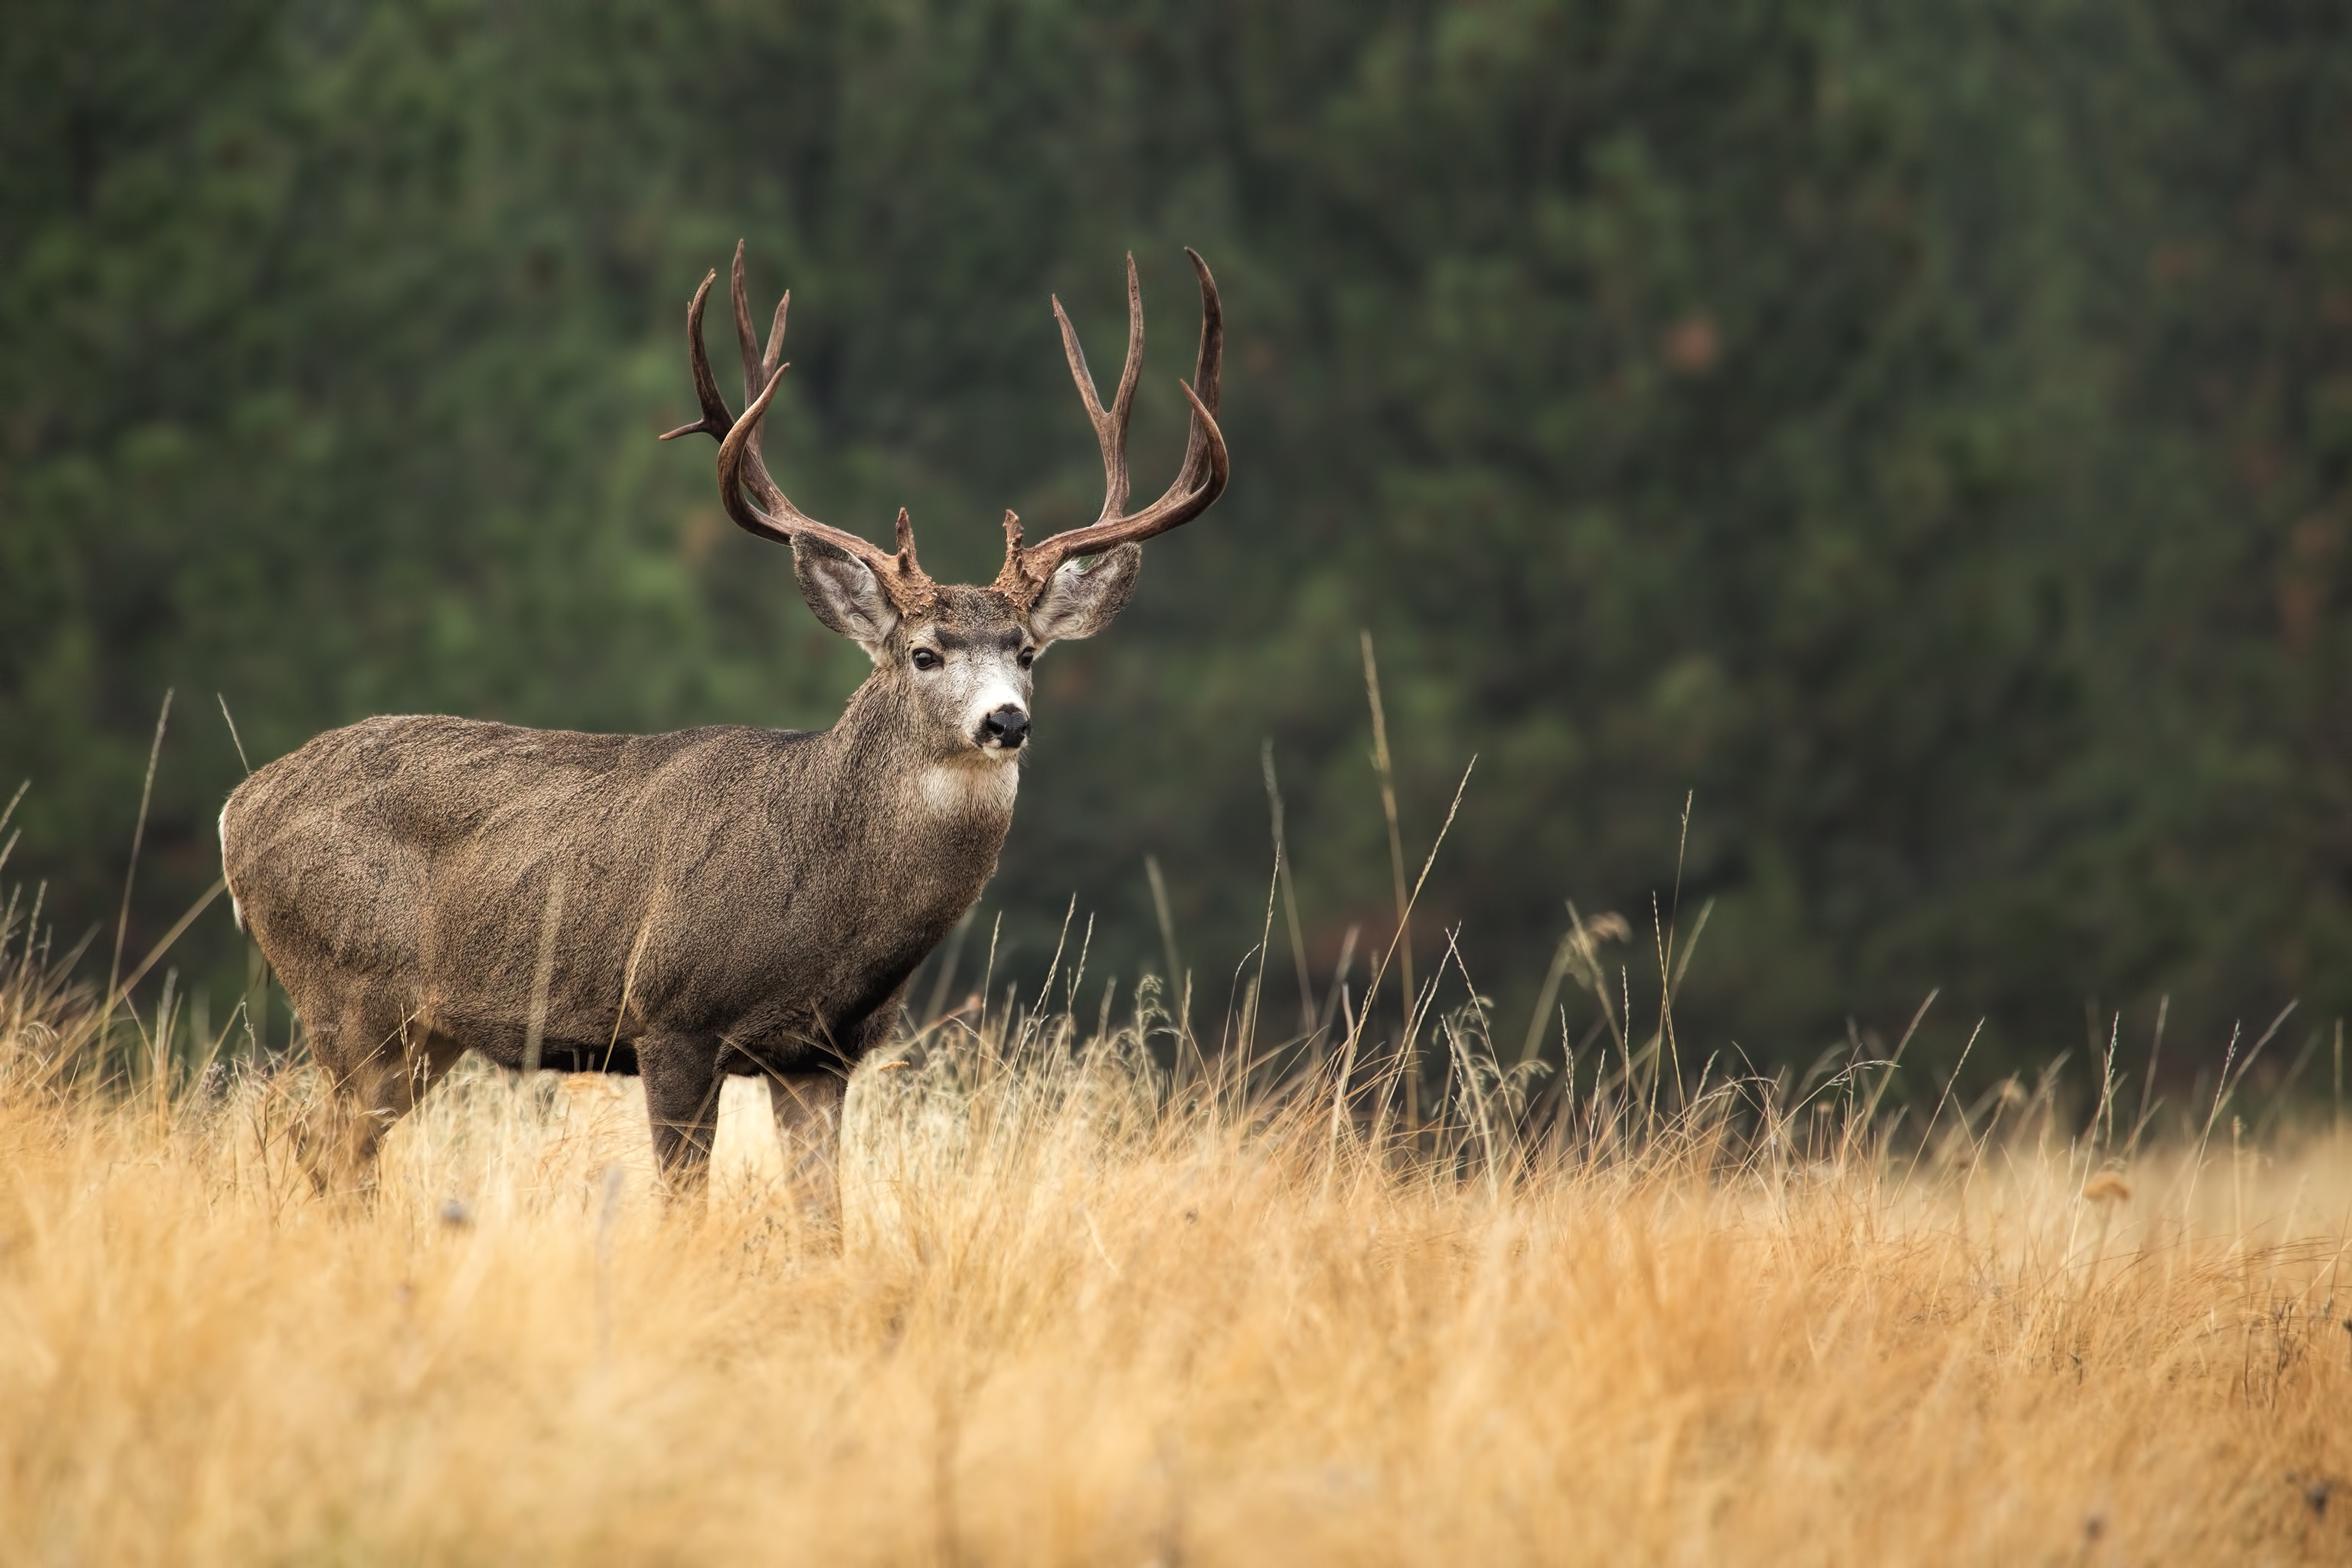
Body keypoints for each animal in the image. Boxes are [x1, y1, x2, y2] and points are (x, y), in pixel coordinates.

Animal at [217, 243, 1226, 1202]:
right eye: (924, 653)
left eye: (1026, 651)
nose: (1006, 721)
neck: (828, 902)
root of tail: (240, 808)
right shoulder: (670, 1017)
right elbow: (681, 1202)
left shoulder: (822, 1055)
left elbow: (824, 1219)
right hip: (347, 991)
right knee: (322, 1145)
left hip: (422, 1031)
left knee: (335, 1153)